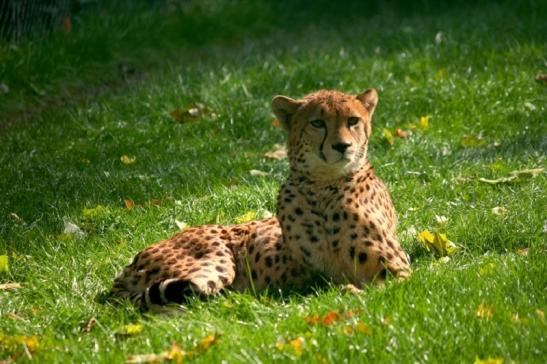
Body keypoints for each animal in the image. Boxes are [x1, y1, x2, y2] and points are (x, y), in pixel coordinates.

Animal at [111, 89, 412, 310]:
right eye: (317, 123)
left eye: (353, 121)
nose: (342, 146)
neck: (324, 186)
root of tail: (132, 261)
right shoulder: (315, 276)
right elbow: (343, 287)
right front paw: (348, 291)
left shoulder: (399, 271)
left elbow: (377, 287)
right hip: (214, 262)